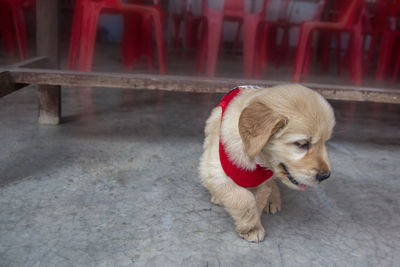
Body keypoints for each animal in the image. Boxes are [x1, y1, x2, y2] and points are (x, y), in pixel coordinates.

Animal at [199, 85, 334, 244]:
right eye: (302, 144)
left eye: (325, 142)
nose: (325, 175)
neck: (257, 160)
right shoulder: (213, 170)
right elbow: (243, 198)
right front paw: (250, 227)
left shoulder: (262, 182)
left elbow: (257, 200)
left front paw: (253, 226)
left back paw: (273, 199)